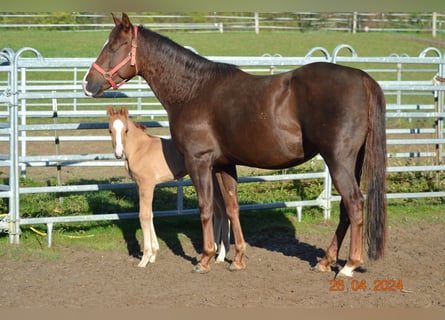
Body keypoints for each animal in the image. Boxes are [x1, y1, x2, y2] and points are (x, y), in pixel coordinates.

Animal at [106, 106, 227, 266]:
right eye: (110, 130)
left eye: (126, 130)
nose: (118, 154)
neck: (140, 149)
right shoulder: (140, 185)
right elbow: (150, 214)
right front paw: (153, 255)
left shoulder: (147, 185)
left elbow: (144, 216)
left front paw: (145, 258)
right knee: (220, 212)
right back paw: (216, 251)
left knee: (224, 211)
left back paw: (221, 255)